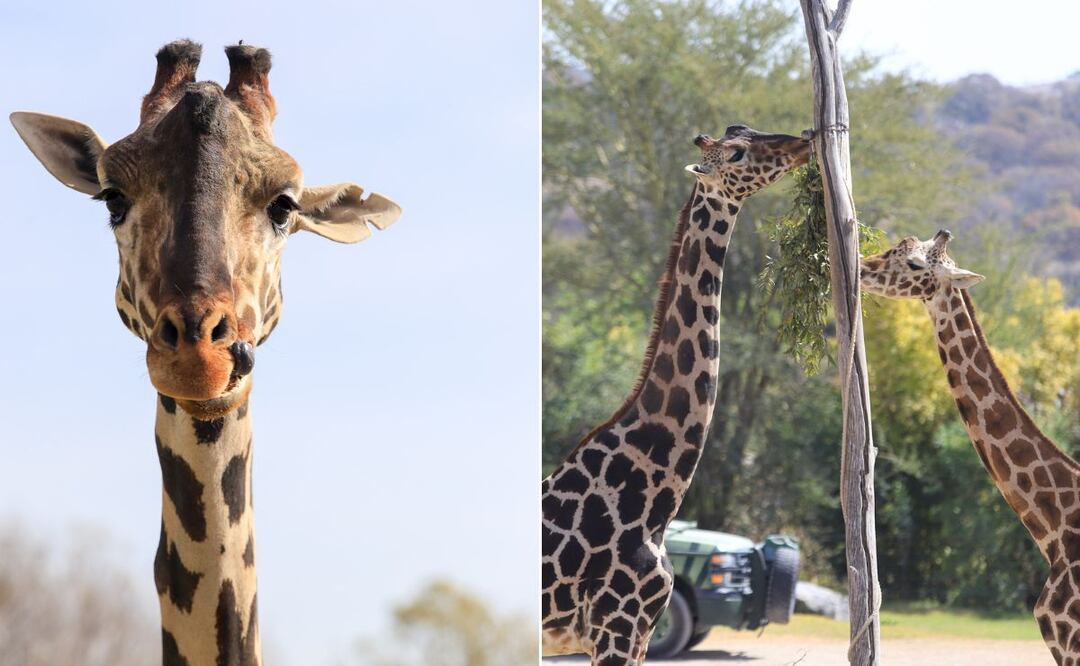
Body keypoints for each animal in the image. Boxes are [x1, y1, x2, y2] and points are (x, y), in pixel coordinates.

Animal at [541, 125, 809, 665]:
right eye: (737, 153)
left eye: (742, 129)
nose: (804, 141)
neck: (655, 502)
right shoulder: (617, 626)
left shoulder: (640, 631)